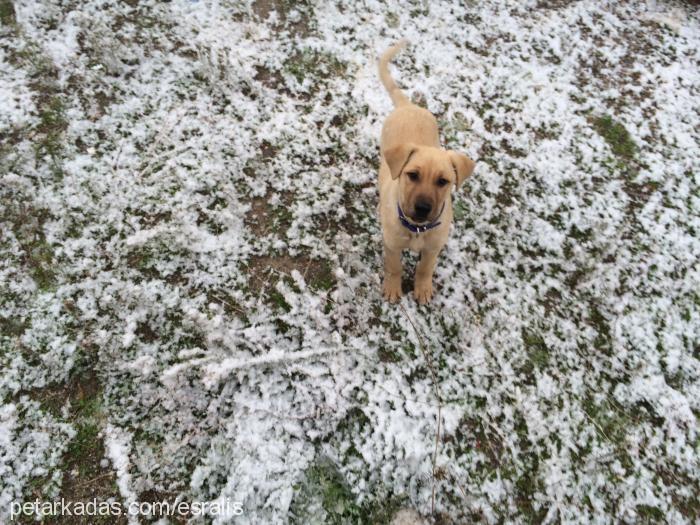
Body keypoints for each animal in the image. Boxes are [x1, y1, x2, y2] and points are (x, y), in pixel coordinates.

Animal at [378, 39, 476, 302]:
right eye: (412, 175)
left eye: (443, 181)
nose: (423, 208)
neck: (417, 228)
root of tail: (408, 105)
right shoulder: (392, 245)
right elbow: (394, 267)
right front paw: (393, 288)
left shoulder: (433, 248)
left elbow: (424, 267)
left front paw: (422, 288)